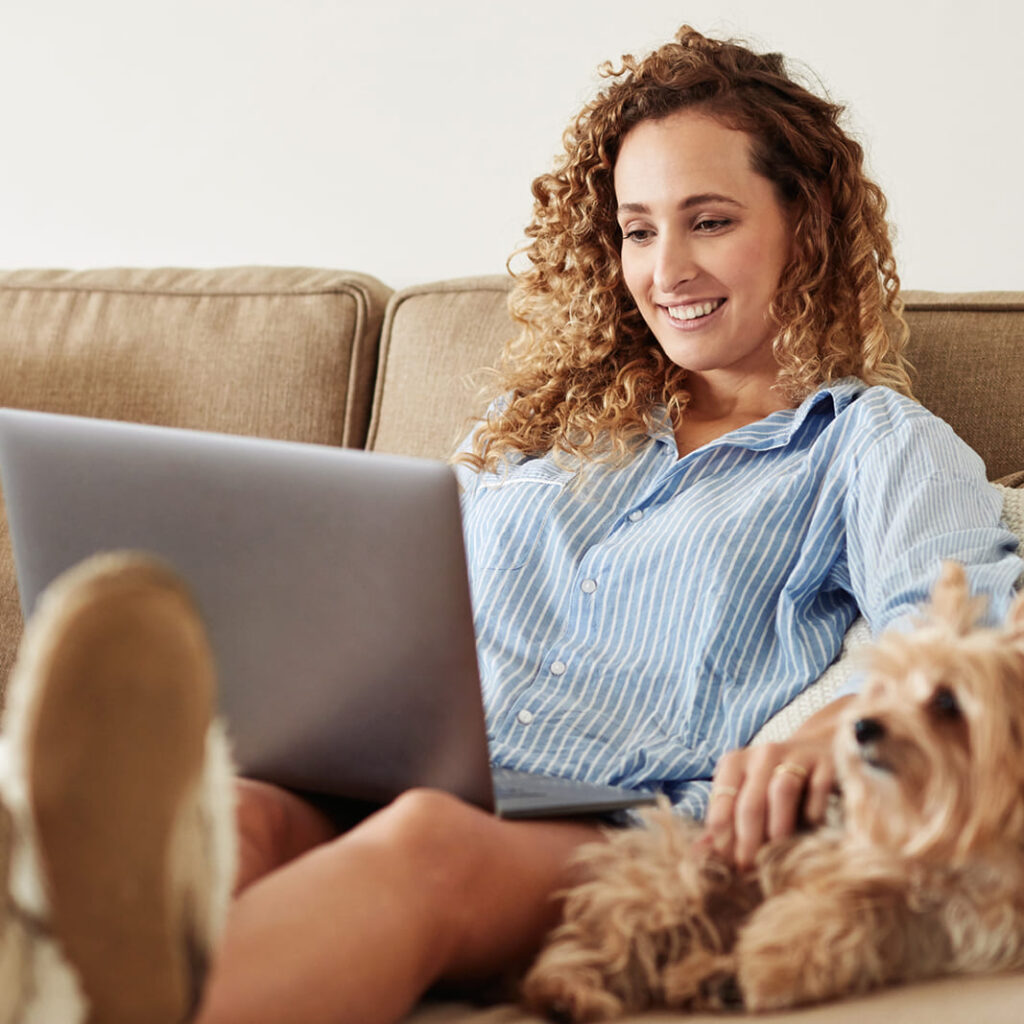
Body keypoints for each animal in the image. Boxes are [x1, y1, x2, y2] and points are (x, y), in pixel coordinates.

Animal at [524, 565, 1024, 1019]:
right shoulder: (845, 869)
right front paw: (769, 965)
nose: (860, 726)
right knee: (603, 939)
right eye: (883, 688)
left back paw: (708, 979)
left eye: (947, 701)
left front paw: (760, 972)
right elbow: (822, 914)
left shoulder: (928, 924)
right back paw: (568, 992)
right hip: (675, 876)